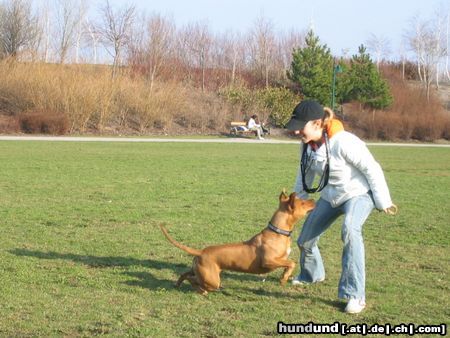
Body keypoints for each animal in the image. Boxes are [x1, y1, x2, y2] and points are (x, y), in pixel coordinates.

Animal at [160, 191, 314, 294]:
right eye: (302, 202)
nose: (313, 200)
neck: (277, 232)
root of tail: (201, 251)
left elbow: (290, 263)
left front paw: (284, 276)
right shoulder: (268, 261)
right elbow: (292, 262)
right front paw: (284, 278)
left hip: (199, 271)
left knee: (185, 275)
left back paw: (178, 284)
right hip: (212, 280)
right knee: (194, 281)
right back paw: (201, 290)